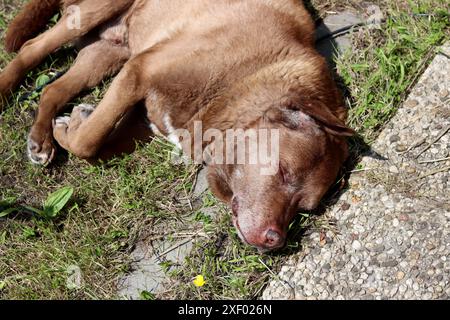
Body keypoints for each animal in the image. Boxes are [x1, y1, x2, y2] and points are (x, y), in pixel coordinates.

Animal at [0, 0, 354, 252]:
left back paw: (41, 139)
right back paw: (7, 91)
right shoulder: (138, 73)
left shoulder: (141, 118)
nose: (274, 240)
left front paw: (70, 124)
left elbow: (95, 143)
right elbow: (88, 142)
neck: (247, 77)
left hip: (107, 53)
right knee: (31, 49)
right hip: (93, 14)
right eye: (282, 171)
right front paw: (75, 127)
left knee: (53, 88)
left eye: (304, 207)